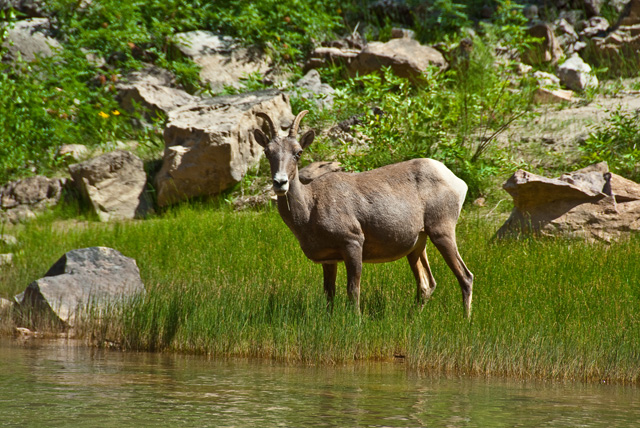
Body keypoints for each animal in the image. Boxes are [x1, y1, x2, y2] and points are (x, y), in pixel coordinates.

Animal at [252, 110, 472, 318]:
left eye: (298, 152)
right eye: (267, 152)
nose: (280, 183)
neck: (309, 210)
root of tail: (459, 183)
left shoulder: (353, 243)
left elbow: (353, 290)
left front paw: (356, 321)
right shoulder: (329, 259)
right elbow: (329, 294)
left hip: (441, 232)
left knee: (465, 277)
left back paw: (465, 320)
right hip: (417, 245)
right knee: (427, 284)